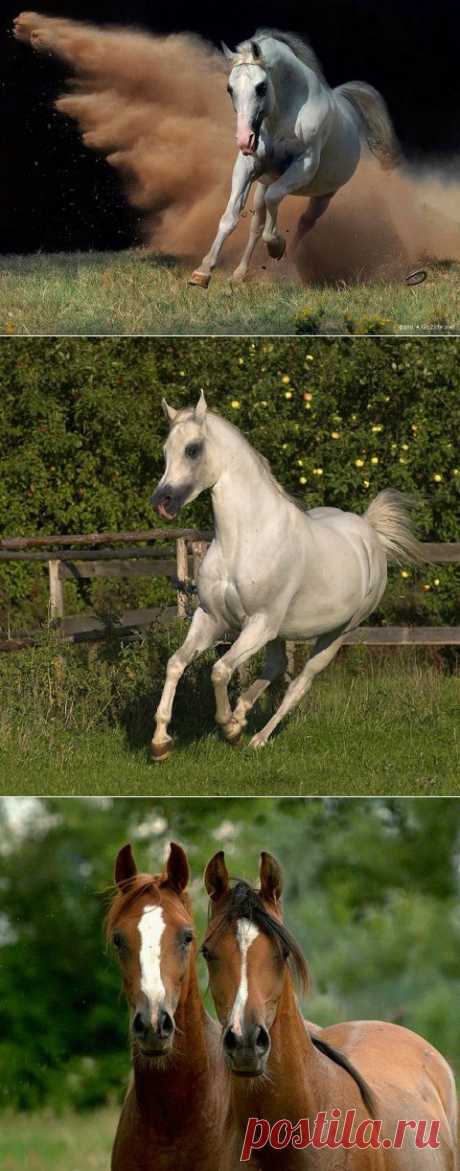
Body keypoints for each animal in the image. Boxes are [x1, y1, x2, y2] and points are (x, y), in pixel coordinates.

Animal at [148, 393, 423, 758]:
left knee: (298, 685)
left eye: (193, 449)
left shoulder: (259, 623)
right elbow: (176, 664)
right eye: (166, 449)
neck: (245, 539)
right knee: (275, 667)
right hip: (280, 633)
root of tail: (369, 532)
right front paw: (160, 742)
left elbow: (220, 671)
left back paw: (257, 737)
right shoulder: (211, 618)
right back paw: (241, 714)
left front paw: (228, 729)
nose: (161, 501)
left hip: (335, 634)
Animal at [188, 29, 395, 285]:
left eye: (261, 87)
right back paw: (240, 273)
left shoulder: (304, 166)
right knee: (257, 223)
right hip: (262, 185)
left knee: (304, 223)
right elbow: (231, 216)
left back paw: (285, 264)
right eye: (230, 89)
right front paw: (203, 272)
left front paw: (276, 246)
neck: (285, 114)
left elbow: (275, 202)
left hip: (324, 196)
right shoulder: (247, 166)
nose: (245, 140)